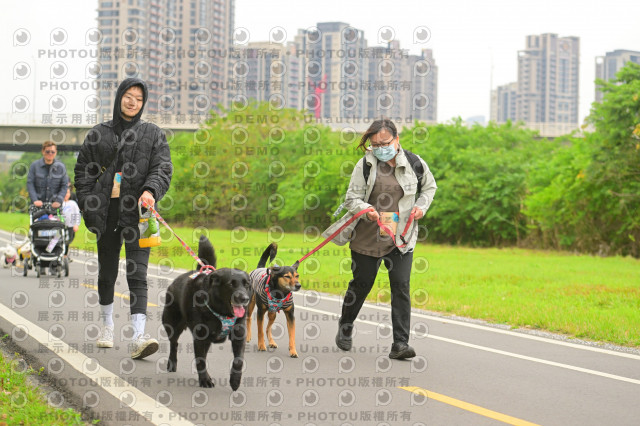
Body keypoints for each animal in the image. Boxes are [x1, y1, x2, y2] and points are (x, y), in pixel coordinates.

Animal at [162, 235, 252, 389]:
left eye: (246, 284)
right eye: (231, 284)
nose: (244, 299)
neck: (222, 311)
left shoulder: (239, 335)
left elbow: (239, 360)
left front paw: (235, 381)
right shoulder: (200, 336)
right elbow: (200, 361)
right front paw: (204, 380)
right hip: (172, 324)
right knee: (174, 343)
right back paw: (172, 364)